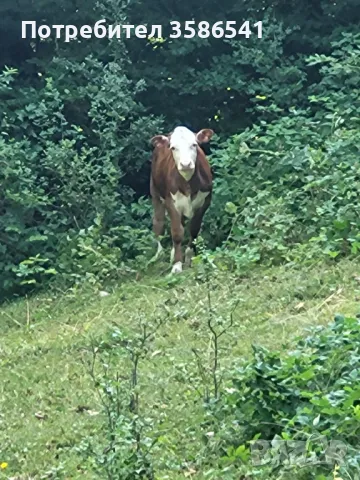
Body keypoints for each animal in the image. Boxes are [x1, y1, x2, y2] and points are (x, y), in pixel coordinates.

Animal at [149, 124, 214, 274]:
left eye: (194, 144)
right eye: (173, 147)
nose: (185, 164)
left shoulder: (205, 202)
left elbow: (194, 231)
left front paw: (189, 259)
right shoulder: (171, 202)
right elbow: (177, 233)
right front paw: (177, 265)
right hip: (155, 192)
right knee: (159, 223)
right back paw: (159, 254)